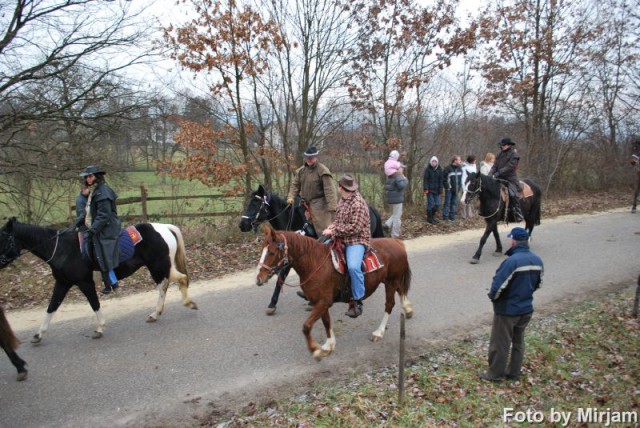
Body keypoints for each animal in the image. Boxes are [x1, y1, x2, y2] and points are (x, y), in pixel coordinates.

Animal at [0, 219, 198, 342]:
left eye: (3, 238)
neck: (62, 249)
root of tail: (165, 227)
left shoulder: (85, 283)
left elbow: (94, 303)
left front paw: (100, 328)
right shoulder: (62, 283)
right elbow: (52, 307)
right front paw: (39, 334)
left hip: (160, 266)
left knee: (179, 280)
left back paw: (187, 304)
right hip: (159, 267)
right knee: (165, 286)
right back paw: (156, 314)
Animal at [238, 185, 382, 314]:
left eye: (255, 203)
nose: (242, 225)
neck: (295, 222)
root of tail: (371, 208)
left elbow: (283, 275)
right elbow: (282, 276)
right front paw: (273, 303)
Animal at [256, 227, 416, 362]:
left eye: (271, 252)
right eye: (262, 250)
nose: (259, 279)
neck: (315, 263)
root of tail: (397, 242)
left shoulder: (324, 302)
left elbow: (306, 326)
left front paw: (316, 350)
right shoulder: (319, 302)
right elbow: (326, 322)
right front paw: (328, 345)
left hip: (391, 282)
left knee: (389, 304)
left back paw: (379, 332)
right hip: (392, 281)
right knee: (401, 291)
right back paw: (408, 309)